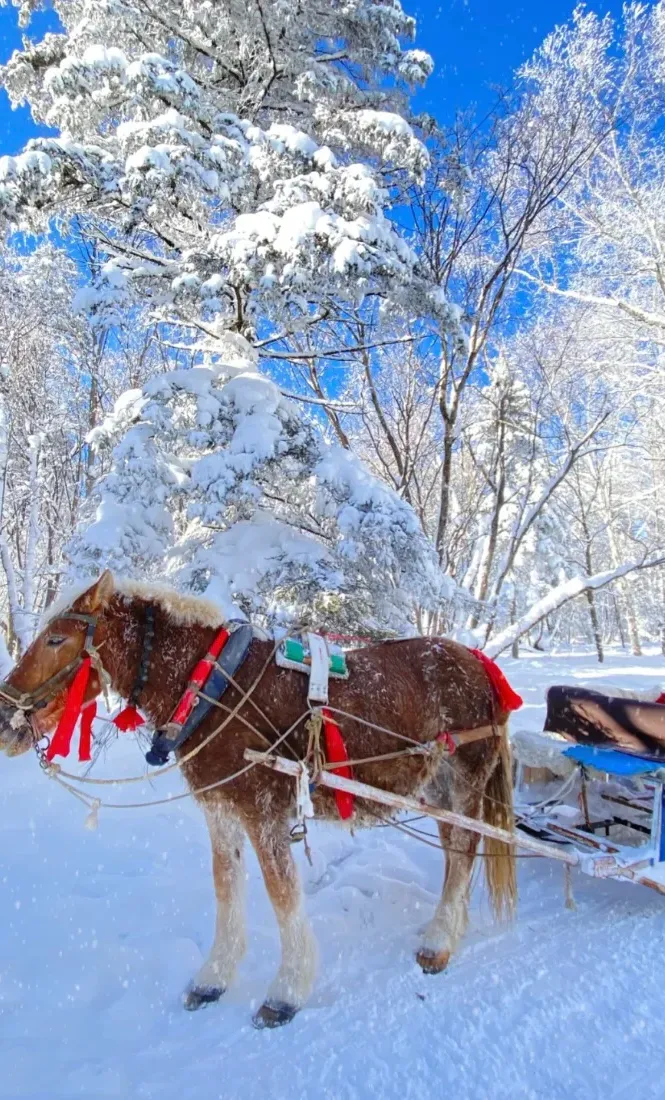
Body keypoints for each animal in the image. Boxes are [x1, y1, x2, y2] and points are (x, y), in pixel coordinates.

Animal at [0, 571, 517, 1028]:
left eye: (57, 639)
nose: (6, 715)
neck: (211, 687)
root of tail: (477, 660)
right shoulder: (220, 810)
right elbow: (226, 886)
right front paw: (213, 979)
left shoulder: (263, 812)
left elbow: (281, 894)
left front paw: (286, 993)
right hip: (436, 788)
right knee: (455, 850)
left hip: (464, 780)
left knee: (463, 851)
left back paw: (439, 942)